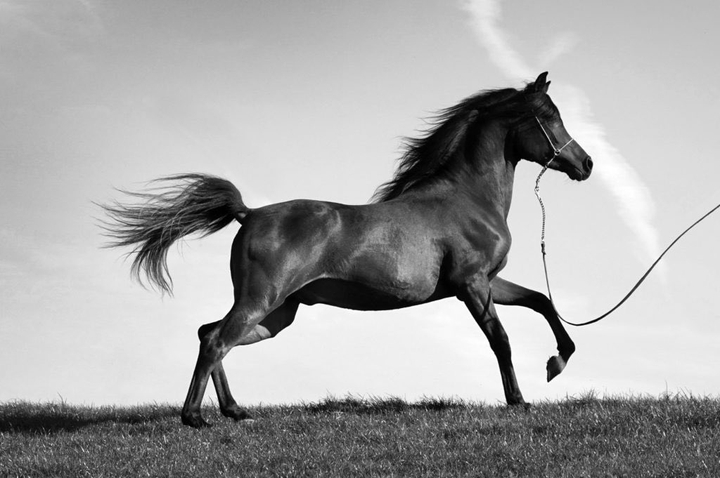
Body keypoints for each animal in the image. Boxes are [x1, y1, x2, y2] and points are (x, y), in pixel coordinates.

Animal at [100, 72, 593, 427]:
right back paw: (195, 418)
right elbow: (500, 339)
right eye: (549, 117)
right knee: (216, 339)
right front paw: (519, 399)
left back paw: (234, 411)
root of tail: (250, 213)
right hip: (262, 301)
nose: (586, 164)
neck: (467, 198)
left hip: (277, 314)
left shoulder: (490, 281)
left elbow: (542, 301)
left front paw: (557, 361)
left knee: (211, 335)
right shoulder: (471, 284)